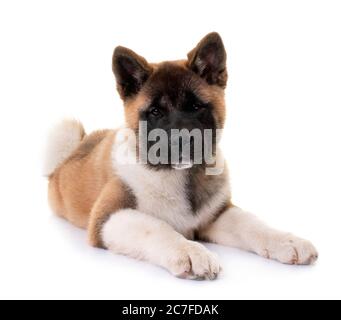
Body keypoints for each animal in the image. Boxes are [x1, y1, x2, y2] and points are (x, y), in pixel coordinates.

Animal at [43, 33, 318, 280]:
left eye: (196, 106)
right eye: (155, 111)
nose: (182, 140)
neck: (179, 175)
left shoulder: (215, 216)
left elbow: (251, 223)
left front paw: (286, 240)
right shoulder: (107, 217)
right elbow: (156, 227)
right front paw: (189, 251)